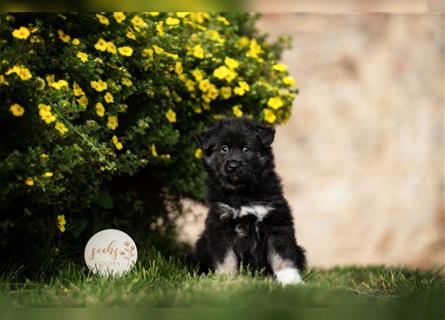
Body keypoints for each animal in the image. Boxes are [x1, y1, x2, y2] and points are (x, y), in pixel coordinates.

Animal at [195, 117, 306, 284]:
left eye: (246, 149)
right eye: (224, 149)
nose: (233, 165)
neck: (241, 192)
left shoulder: (276, 222)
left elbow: (283, 255)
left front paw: (291, 280)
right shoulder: (219, 225)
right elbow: (225, 257)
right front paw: (226, 280)